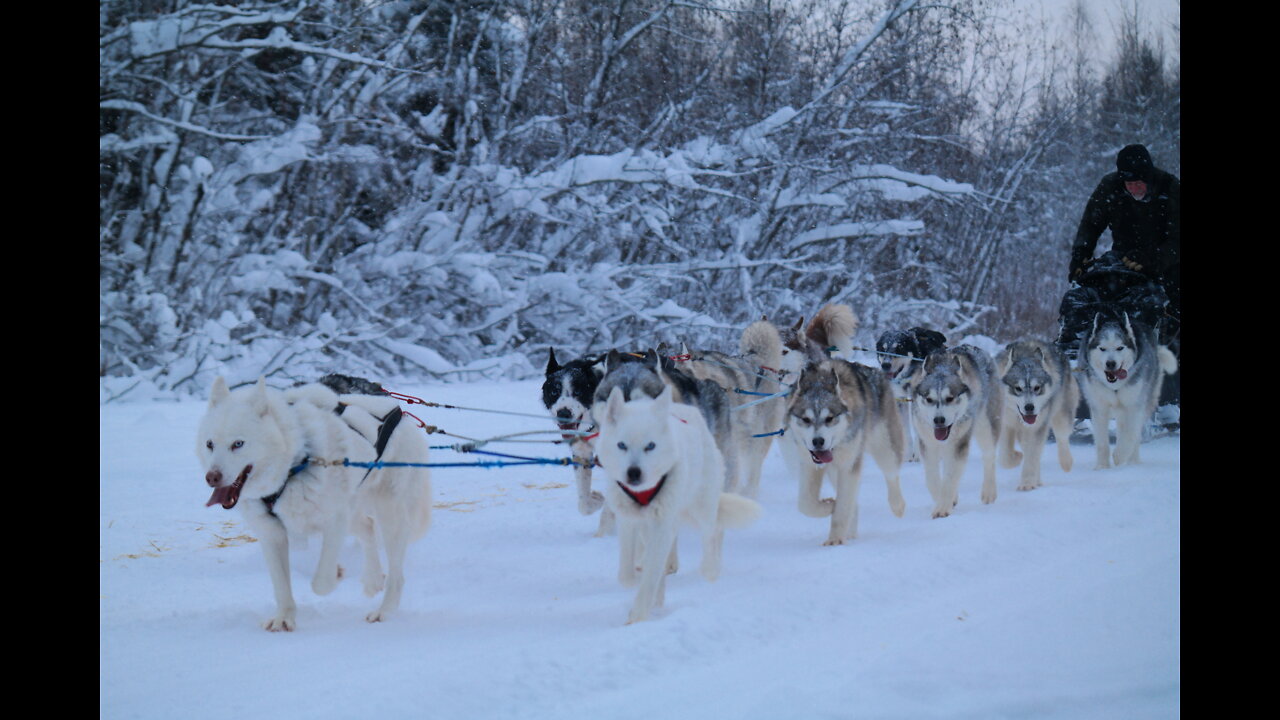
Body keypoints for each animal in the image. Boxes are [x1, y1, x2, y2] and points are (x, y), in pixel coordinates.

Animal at [194, 376, 432, 627]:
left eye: (238, 444)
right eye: (210, 444)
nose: (212, 477)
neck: (293, 467)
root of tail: (401, 415)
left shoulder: (334, 521)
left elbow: (321, 583)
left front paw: (334, 575)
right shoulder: (272, 534)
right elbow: (281, 585)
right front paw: (284, 617)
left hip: (389, 516)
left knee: (396, 573)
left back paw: (384, 610)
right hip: (353, 512)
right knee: (367, 529)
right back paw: (373, 579)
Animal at [591, 381, 757, 622]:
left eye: (650, 446)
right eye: (621, 445)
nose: (634, 473)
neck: (643, 491)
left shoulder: (662, 525)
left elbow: (650, 574)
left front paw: (638, 615)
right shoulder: (629, 521)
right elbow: (627, 575)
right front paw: (644, 591)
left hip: (700, 507)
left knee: (712, 532)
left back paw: (710, 569)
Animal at [783, 356, 906, 540]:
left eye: (829, 418)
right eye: (806, 419)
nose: (818, 441)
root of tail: (877, 372)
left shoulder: (848, 466)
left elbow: (842, 508)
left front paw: (834, 540)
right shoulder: (809, 465)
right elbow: (805, 503)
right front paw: (828, 506)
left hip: (884, 448)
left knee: (891, 474)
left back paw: (897, 505)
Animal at [916, 348, 1003, 515]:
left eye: (950, 398)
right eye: (929, 399)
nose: (939, 420)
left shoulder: (958, 445)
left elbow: (950, 478)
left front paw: (942, 507)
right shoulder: (928, 445)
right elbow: (932, 479)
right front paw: (946, 499)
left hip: (985, 426)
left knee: (989, 456)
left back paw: (989, 491)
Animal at [993, 338, 1075, 486]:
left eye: (1037, 388)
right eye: (1018, 388)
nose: (1029, 407)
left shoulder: (1037, 427)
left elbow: (1032, 455)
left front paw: (1027, 483)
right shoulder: (1006, 423)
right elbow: (1005, 458)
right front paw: (1017, 458)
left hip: (1062, 416)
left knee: (1062, 437)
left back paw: (1066, 462)